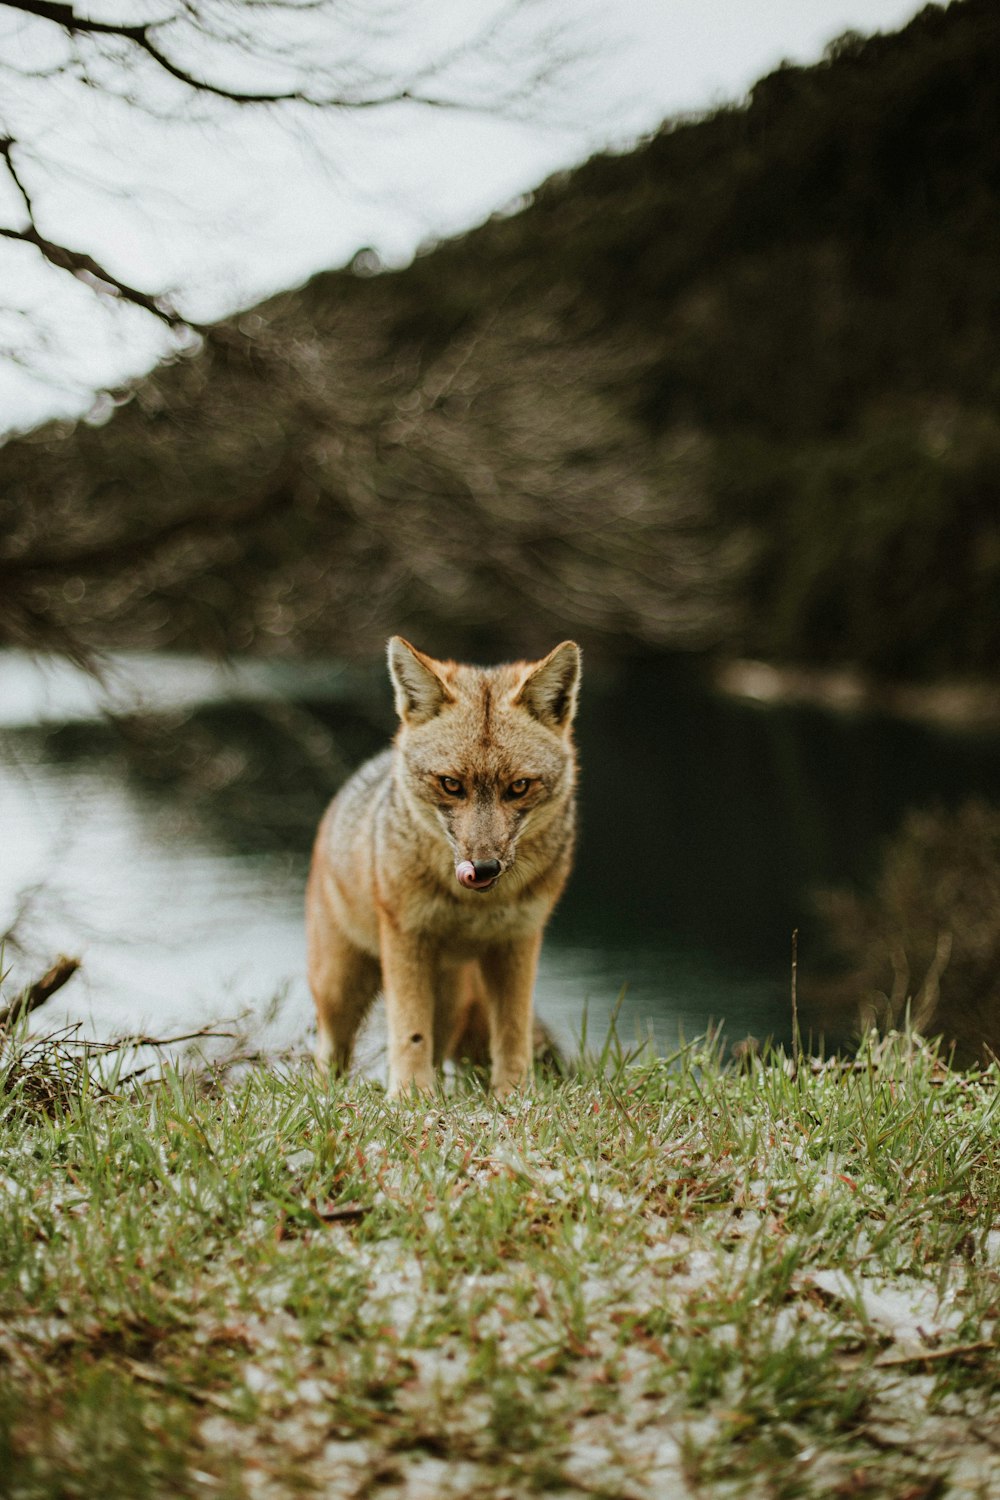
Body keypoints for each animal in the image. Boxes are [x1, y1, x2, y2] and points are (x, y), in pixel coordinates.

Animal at [308, 636, 581, 1104]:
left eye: (519, 787)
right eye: (451, 784)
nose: (483, 868)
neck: (471, 909)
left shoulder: (519, 941)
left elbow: (513, 1032)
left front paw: (513, 1095)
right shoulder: (406, 940)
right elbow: (409, 1032)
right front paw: (408, 1098)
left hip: (453, 1001)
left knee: (443, 1048)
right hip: (340, 988)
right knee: (330, 1053)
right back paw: (332, 1093)